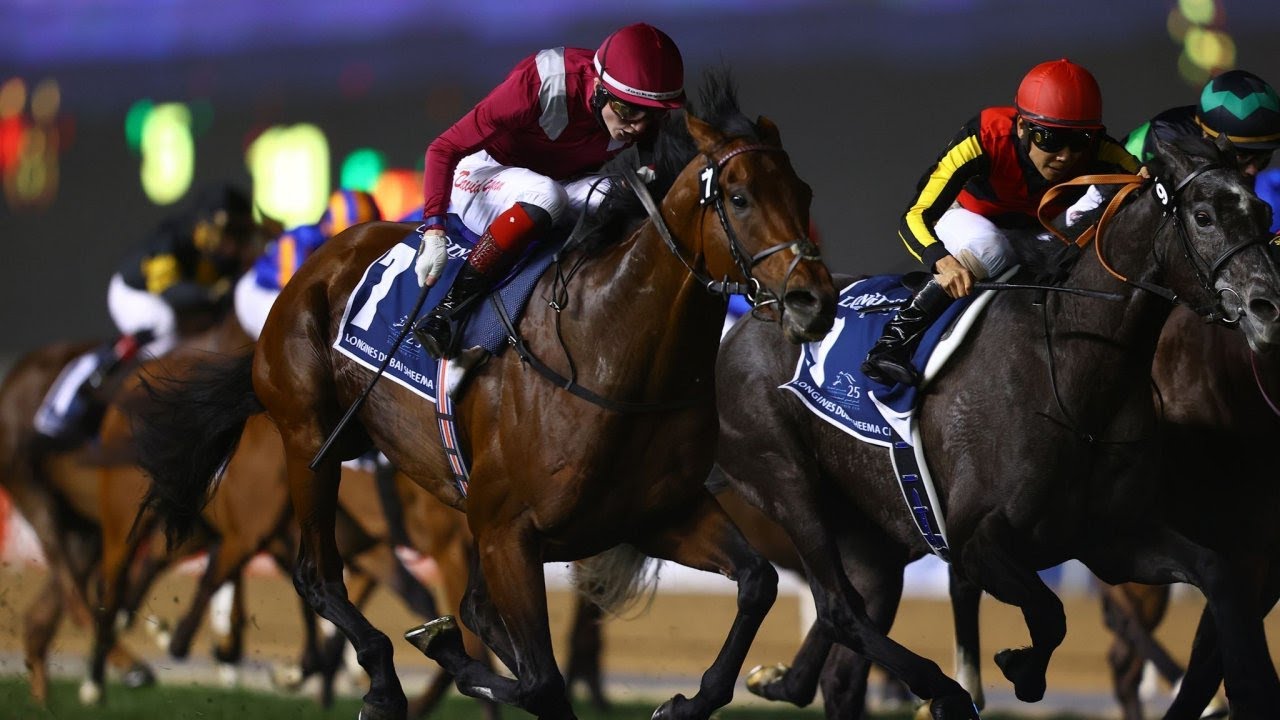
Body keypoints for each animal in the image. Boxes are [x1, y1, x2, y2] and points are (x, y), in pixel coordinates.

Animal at [131, 72, 837, 720]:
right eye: (739, 198)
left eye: (803, 193)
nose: (814, 299)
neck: (610, 350)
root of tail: (319, 260)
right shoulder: (506, 533)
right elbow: (539, 679)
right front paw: (442, 652)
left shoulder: (655, 514)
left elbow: (756, 583)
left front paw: (689, 700)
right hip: (310, 438)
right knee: (316, 573)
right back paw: (379, 681)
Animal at [714, 133, 1280, 719]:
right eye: (1203, 216)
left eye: (1263, 213)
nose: (1267, 305)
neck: (1073, 373)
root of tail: (761, 310)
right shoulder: (976, 542)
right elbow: (1050, 613)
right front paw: (1020, 670)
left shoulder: (1111, 538)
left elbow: (1217, 573)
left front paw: (1246, 687)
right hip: (783, 478)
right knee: (836, 607)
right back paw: (938, 689)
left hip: (870, 537)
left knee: (844, 651)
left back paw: (784, 680)